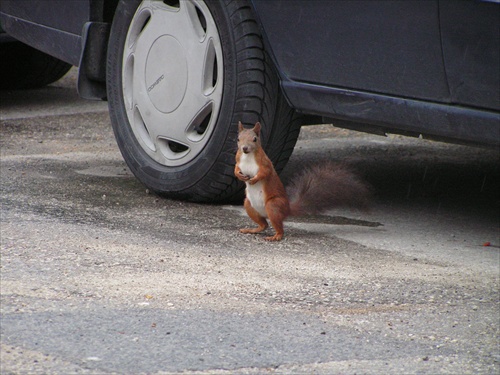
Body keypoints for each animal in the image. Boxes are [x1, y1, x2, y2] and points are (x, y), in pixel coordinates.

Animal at [234, 122, 372, 242]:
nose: (244, 148)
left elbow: (265, 173)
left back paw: (276, 236)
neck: (247, 156)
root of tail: (287, 209)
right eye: (238, 139)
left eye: (255, 139)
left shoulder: (265, 163)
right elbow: (235, 169)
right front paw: (240, 175)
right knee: (264, 225)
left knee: (278, 227)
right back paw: (251, 230)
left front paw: (254, 179)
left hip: (273, 205)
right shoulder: (238, 160)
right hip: (249, 205)